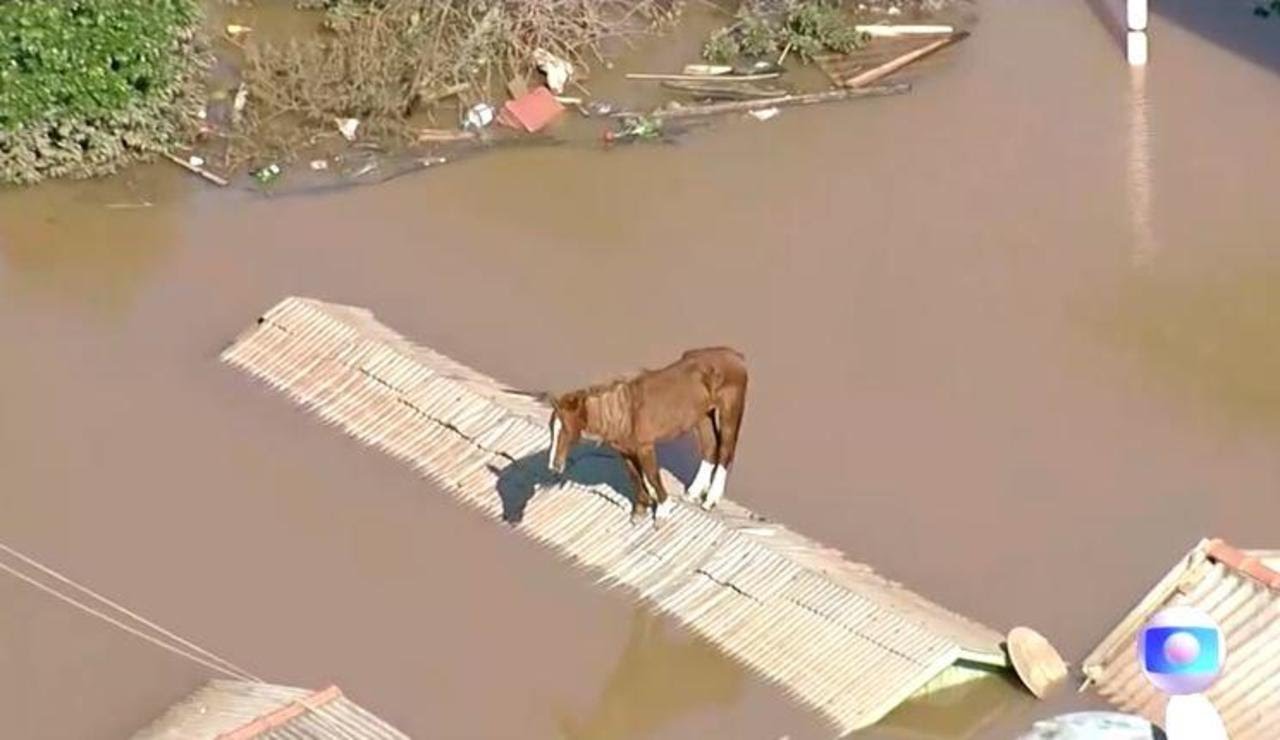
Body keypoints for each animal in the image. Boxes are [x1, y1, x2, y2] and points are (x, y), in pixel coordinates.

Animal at [542, 348, 747, 524]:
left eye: (566, 429)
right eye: (552, 429)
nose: (554, 466)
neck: (624, 412)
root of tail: (736, 356)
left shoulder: (645, 447)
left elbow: (652, 475)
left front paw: (663, 510)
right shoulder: (625, 452)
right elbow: (635, 477)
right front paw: (640, 510)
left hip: (730, 411)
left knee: (725, 451)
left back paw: (710, 500)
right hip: (703, 415)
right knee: (710, 448)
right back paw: (693, 493)